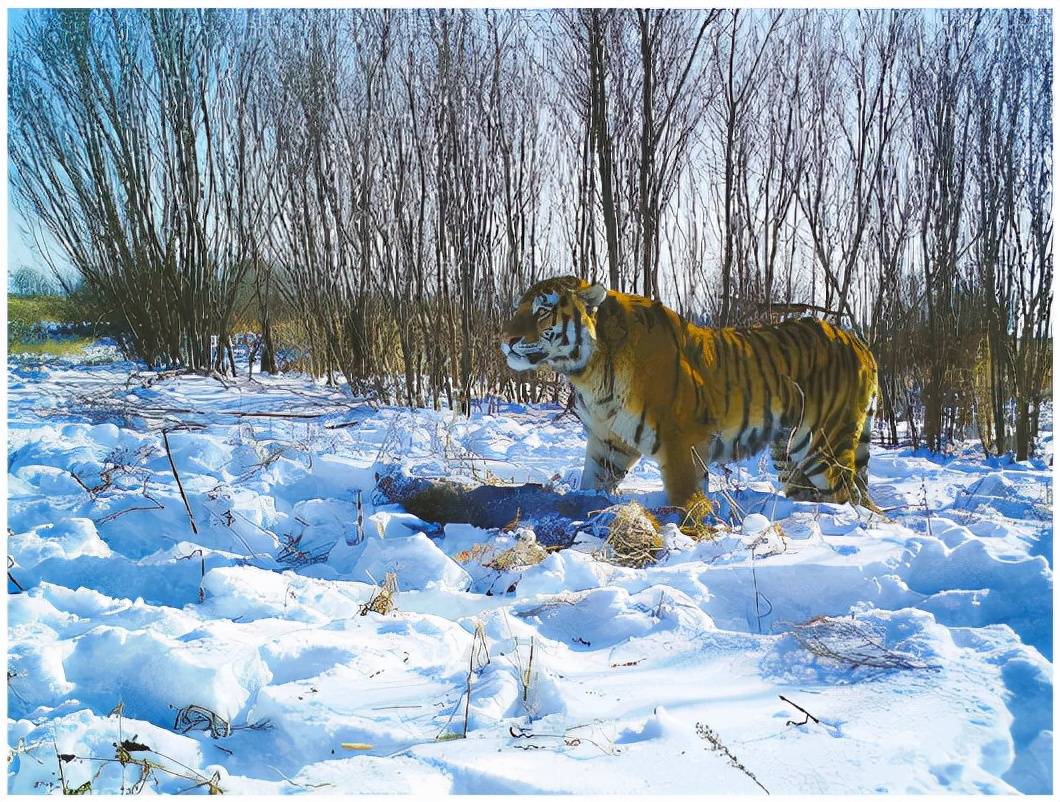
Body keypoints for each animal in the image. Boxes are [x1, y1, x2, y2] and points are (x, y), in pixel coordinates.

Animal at [500, 275, 881, 512]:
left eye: (543, 311)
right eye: (518, 309)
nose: (505, 339)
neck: (589, 373)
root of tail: (861, 344)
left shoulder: (682, 439)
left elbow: (684, 495)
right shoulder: (608, 442)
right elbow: (593, 482)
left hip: (822, 444)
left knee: (850, 498)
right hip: (789, 456)